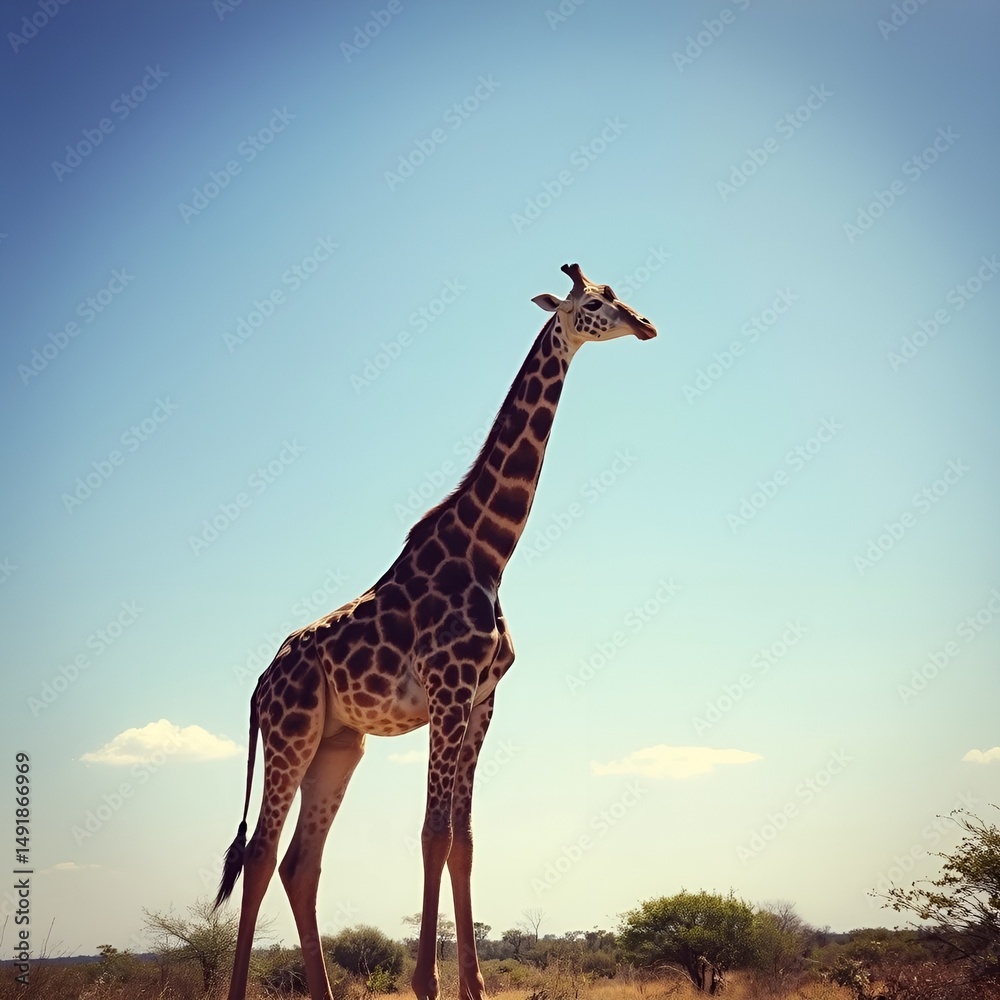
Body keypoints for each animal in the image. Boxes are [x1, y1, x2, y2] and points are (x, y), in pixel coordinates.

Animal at [215, 263, 657, 1000]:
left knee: (301, 863)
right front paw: (429, 982)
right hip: (291, 734)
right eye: (594, 302)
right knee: (260, 854)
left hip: (340, 746)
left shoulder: (483, 701)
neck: (489, 551)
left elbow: (466, 841)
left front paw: (474, 985)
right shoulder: (449, 693)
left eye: (620, 294)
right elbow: (433, 834)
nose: (647, 325)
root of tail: (257, 686)